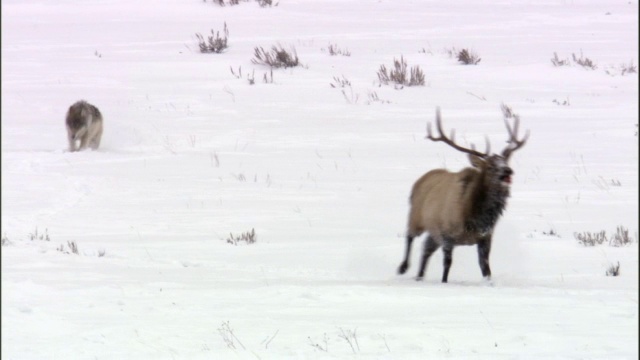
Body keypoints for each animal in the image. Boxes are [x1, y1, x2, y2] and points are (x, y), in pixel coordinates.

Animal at [398, 108, 528, 282]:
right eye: (491, 167)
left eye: (506, 162)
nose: (508, 171)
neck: (475, 218)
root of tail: (418, 181)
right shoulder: (447, 234)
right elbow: (447, 265)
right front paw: (444, 282)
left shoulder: (485, 238)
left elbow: (486, 268)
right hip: (416, 216)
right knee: (410, 236)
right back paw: (403, 267)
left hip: (433, 232)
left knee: (426, 249)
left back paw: (419, 276)